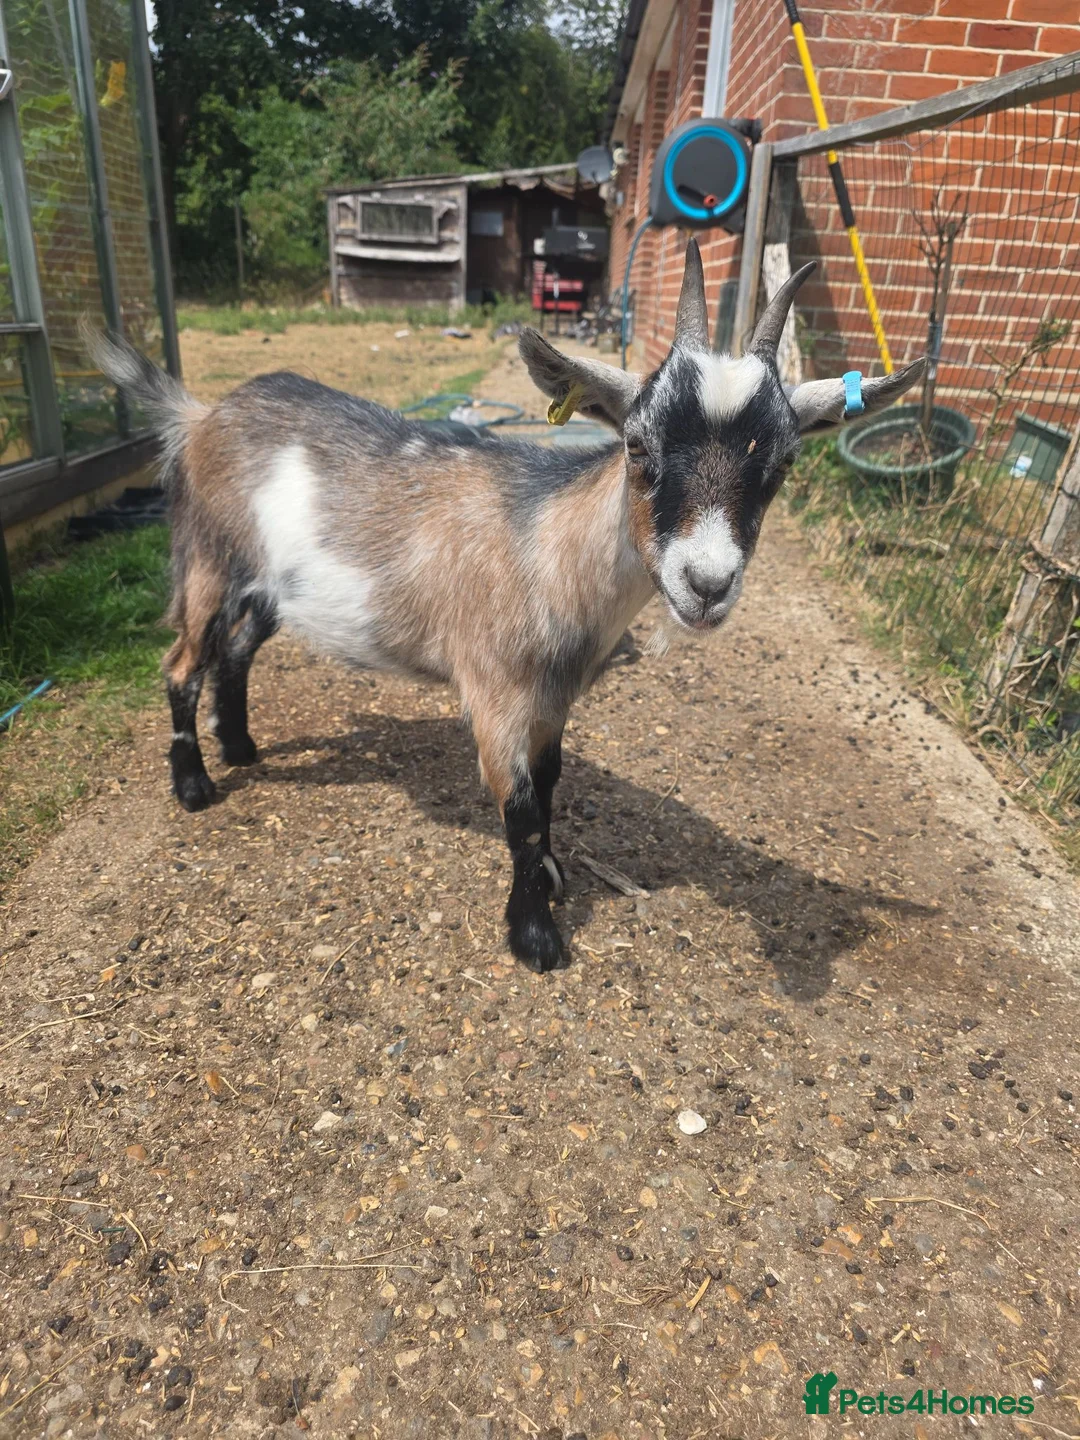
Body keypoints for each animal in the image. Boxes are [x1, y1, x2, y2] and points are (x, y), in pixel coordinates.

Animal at [89, 242, 922, 973]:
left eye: (783, 464)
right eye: (638, 446)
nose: (708, 583)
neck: (547, 550)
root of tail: (200, 415)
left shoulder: (552, 697)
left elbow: (550, 785)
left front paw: (552, 875)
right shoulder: (493, 692)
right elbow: (519, 810)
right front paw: (535, 935)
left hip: (270, 585)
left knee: (234, 652)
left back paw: (240, 746)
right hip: (207, 556)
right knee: (183, 661)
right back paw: (195, 786)